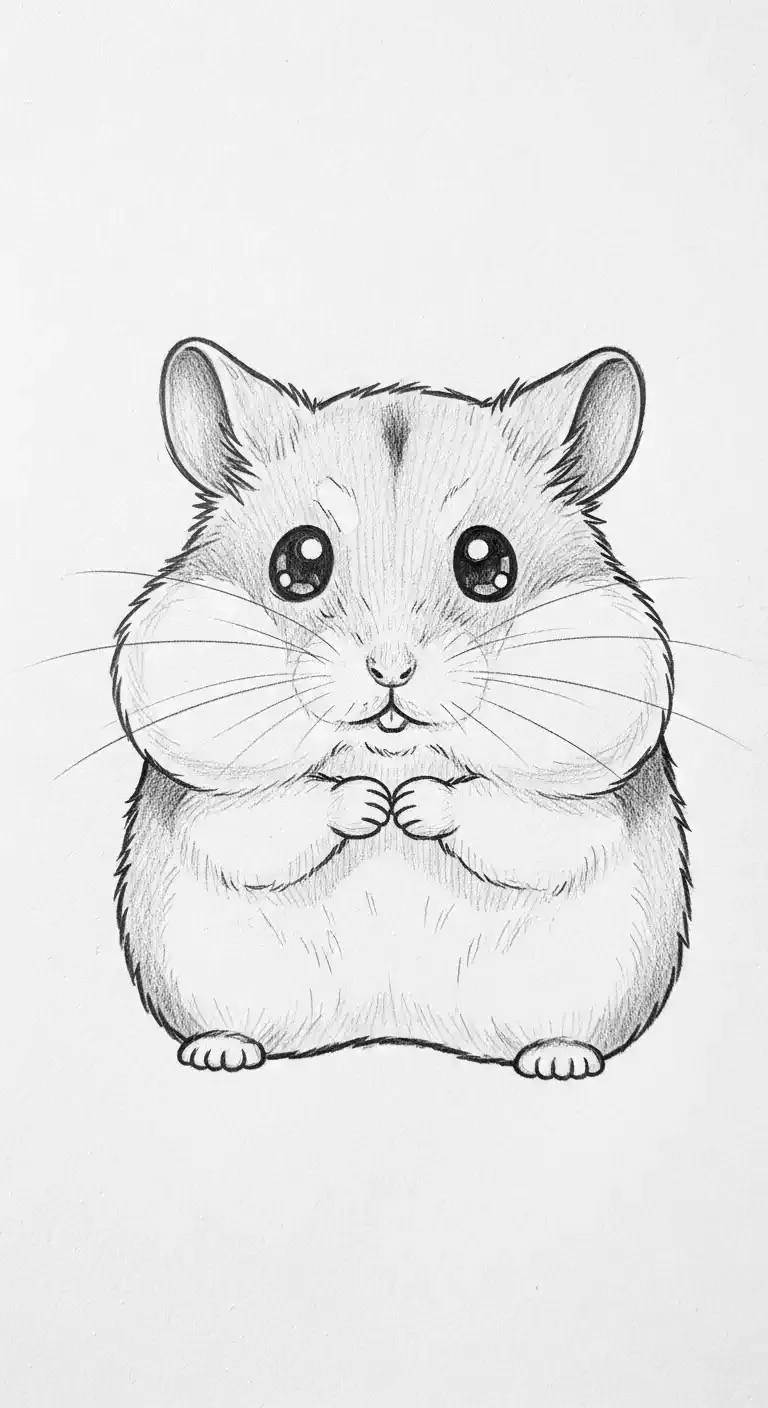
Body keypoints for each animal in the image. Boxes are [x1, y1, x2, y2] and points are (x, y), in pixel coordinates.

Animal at [112, 338, 690, 1079]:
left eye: (486, 560)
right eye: (300, 560)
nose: (391, 670)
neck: (393, 753)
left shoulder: (589, 789)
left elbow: (517, 819)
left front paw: (410, 806)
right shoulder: (204, 788)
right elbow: (269, 815)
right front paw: (371, 805)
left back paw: (559, 1062)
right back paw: (221, 1052)